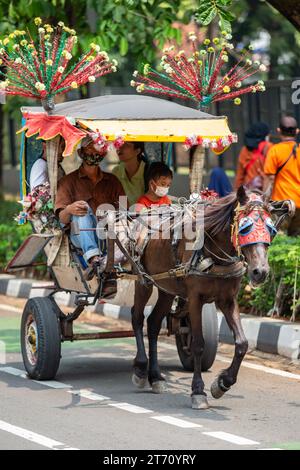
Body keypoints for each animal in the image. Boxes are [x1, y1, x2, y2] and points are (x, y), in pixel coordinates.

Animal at [130, 185, 282, 410]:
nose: (260, 272)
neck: (214, 254)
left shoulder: (228, 300)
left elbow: (242, 343)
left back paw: (156, 377)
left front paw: (223, 383)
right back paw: (141, 369)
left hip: (167, 288)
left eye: (271, 230)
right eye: (245, 228)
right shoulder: (195, 299)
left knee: (154, 323)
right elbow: (198, 344)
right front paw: (198, 391)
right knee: (137, 318)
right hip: (143, 280)